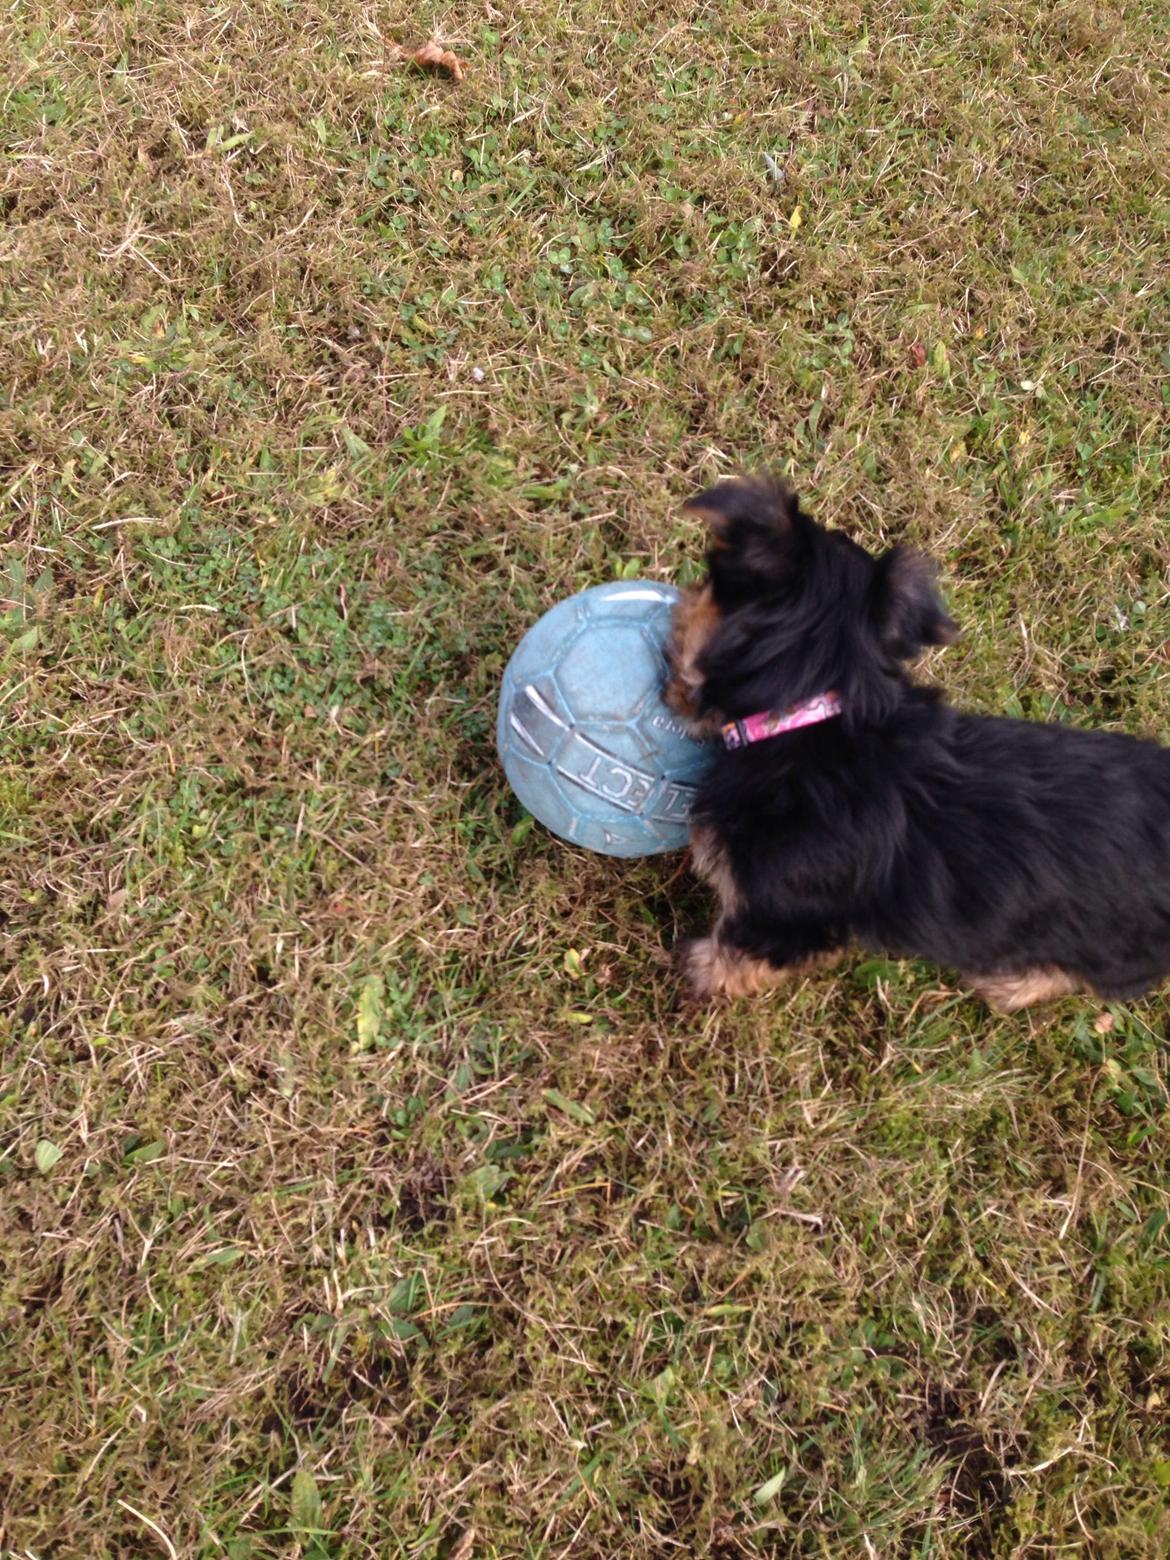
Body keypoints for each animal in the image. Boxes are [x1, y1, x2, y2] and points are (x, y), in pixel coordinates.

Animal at [664, 474, 1170, 1010]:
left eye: (705, 586)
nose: (677, 607)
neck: (811, 705)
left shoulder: (780, 913)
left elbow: (738, 954)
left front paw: (698, 972)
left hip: (1113, 942)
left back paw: (1013, 984)